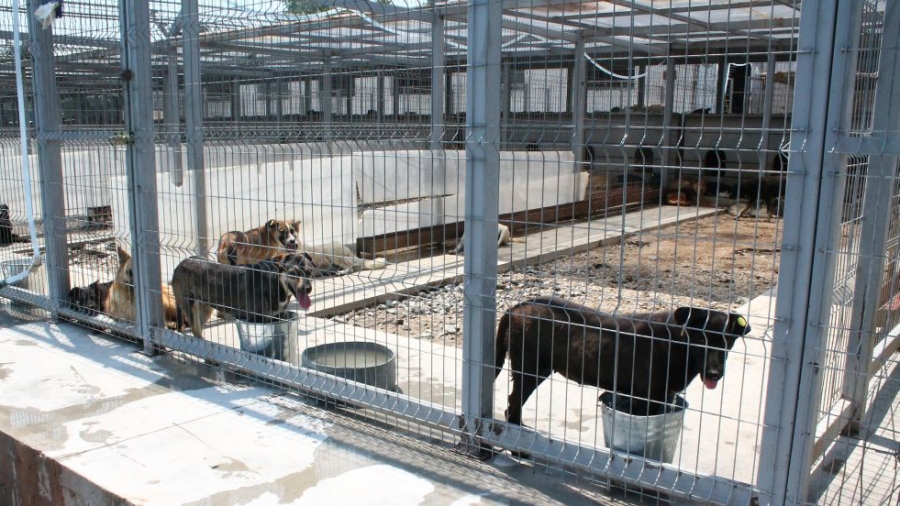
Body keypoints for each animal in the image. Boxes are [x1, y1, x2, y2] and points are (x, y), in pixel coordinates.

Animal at [496, 296, 748, 426]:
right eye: (701, 339)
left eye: (728, 341)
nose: (715, 373)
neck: (678, 342)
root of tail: (517, 307)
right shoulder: (648, 398)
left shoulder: (661, 396)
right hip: (530, 371)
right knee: (512, 408)